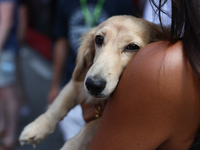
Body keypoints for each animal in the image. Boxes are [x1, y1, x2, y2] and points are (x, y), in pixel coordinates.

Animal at [18, 15, 161, 150]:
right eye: (99, 39)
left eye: (132, 47)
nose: (93, 85)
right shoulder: (77, 84)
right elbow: (57, 106)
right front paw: (37, 128)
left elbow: (89, 128)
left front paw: (70, 146)